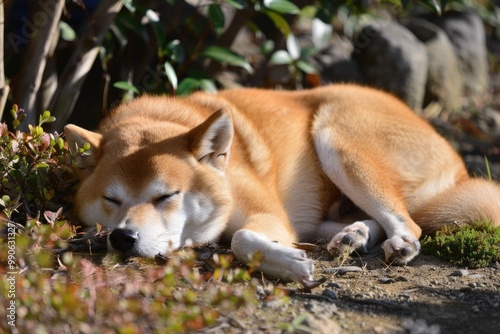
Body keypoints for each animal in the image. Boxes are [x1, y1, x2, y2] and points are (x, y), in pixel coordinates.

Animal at [65, 85, 500, 286]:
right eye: (112, 199)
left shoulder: (265, 212)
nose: (123, 238)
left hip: (335, 138)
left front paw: (288, 264)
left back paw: (395, 243)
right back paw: (353, 235)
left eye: (166, 196)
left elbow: (241, 237)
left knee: (411, 223)